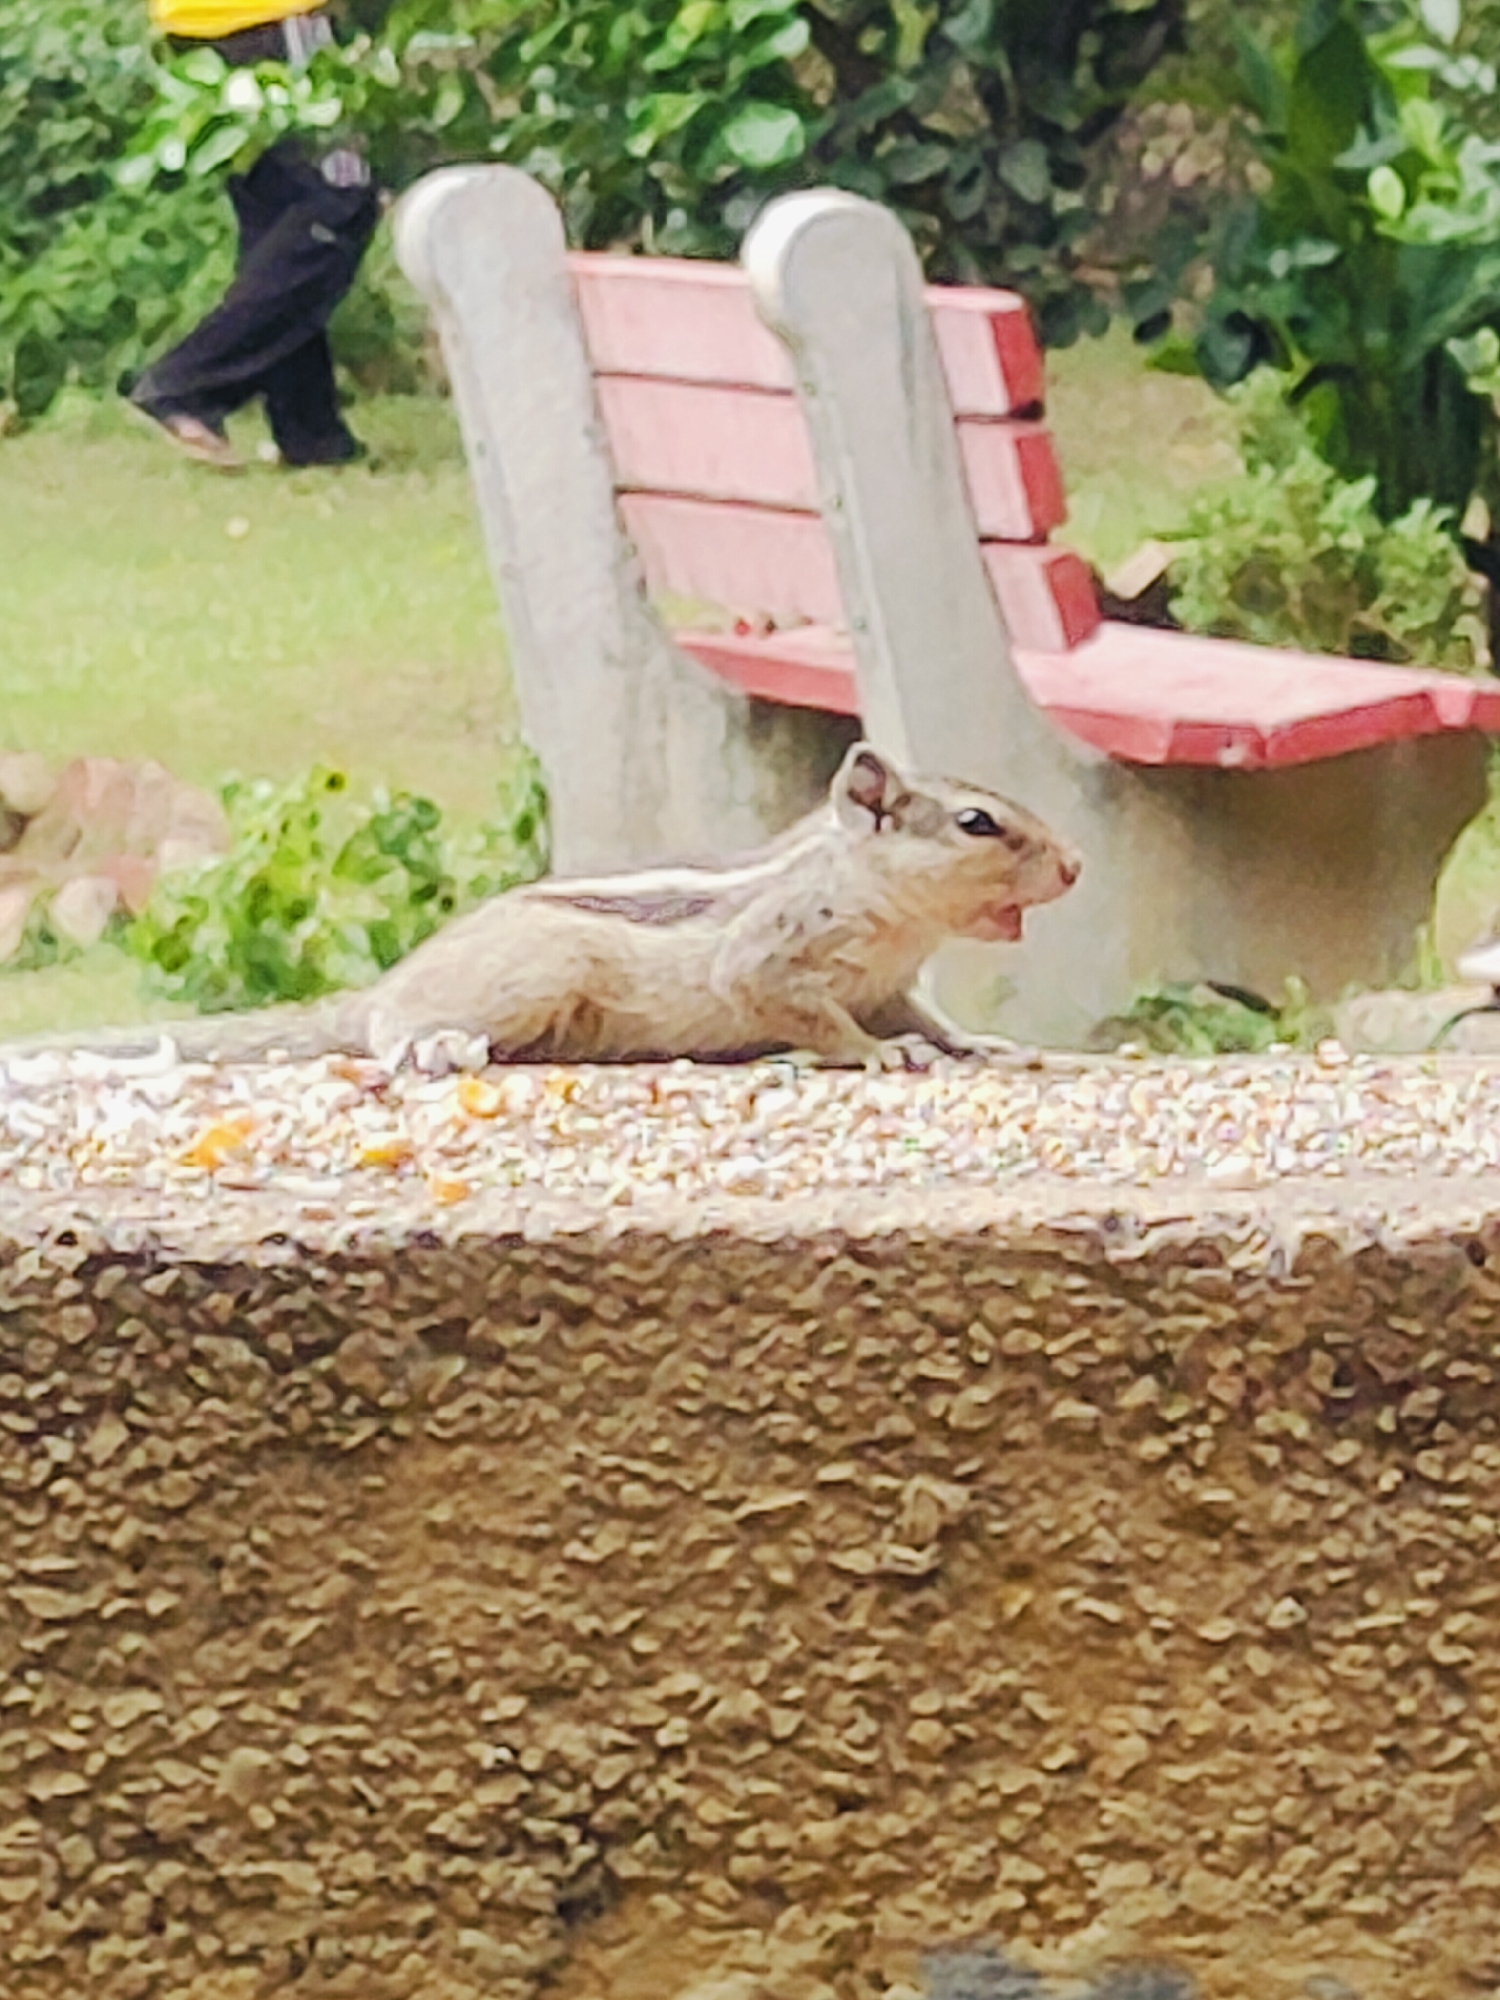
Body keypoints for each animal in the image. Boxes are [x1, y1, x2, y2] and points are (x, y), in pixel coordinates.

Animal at [0, 743, 1080, 1073]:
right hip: (532, 978)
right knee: (388, 1031)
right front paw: (872, 1057)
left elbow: (927, 1018)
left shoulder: (896, 983)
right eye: (979, 823)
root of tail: (387, 983)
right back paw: (430, 1042)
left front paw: (972, 1044)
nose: (1073, 865)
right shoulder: (771, 959)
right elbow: (808, 1013)